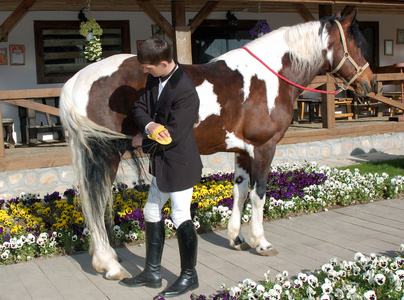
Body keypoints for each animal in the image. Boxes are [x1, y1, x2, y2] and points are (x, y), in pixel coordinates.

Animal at [59, 9, 376, 282]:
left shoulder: (243, 151)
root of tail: (77, 80)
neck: (269, 77)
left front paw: (237, 238)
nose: (371, 84)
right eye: (357, 44)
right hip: (105, 154)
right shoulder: (264, 148)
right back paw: (109, 264)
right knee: (96, 202)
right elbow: (259, 194)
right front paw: (260, 241)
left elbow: (240, 191)